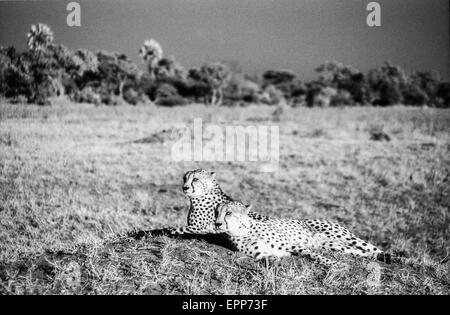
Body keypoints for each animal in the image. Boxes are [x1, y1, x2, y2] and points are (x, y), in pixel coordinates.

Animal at [216, 202, 392, 266]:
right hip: (333, 245)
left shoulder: (294, 245)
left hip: (342, 236)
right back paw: (376, 257)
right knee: (358, 251)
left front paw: (333, 264)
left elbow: (314, 256)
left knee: (369, 246)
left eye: (228, 213)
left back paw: (390, 257)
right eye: (217, 212)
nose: (217, 223)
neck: (244, 230)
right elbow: (268, 258)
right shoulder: (262, 253)